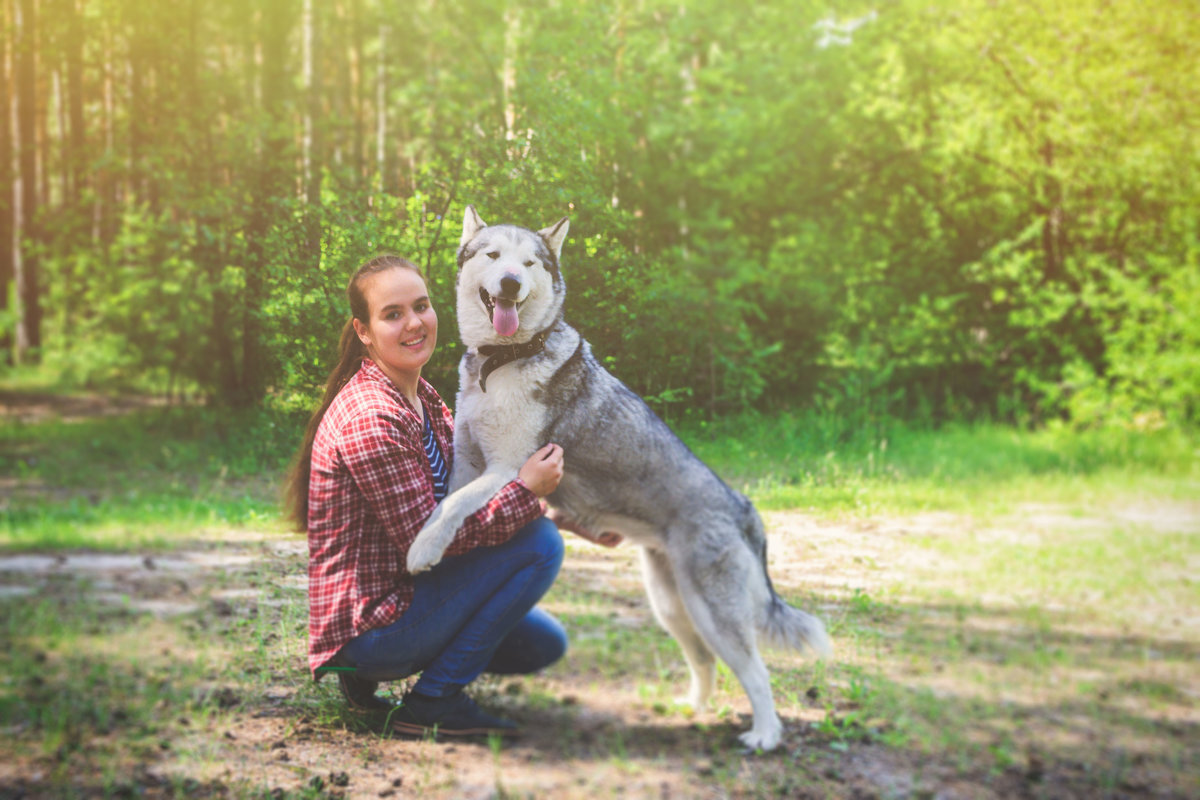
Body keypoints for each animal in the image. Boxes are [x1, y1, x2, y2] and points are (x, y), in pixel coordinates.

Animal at [408, 205, 830, 753]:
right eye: (494, 255)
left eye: (530, 263)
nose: (511, 282)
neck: (501, 361)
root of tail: (741, 504)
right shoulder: (468, 463)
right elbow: (446, 503)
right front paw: (434, 548)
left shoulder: (507, 469)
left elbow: (450, 506)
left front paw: (421, 550)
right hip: (673, 606)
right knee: (705, 662)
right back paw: (688, 711)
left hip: (714, 612)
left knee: (756, 673)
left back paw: (764, 736)